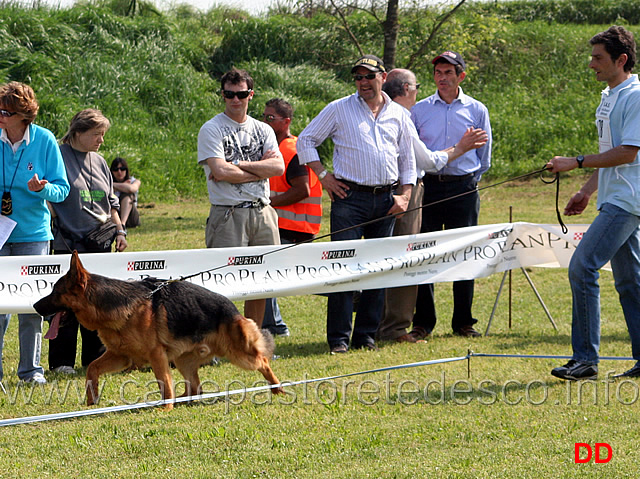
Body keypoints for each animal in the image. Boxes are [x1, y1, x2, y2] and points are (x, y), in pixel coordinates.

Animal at [33, 253, 282, 410]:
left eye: (55, 292)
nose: (34, 306)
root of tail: (232, 309)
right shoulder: (121, 356)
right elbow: (92, 369)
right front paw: (91, 399)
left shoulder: (156, 355)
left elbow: (164, 383)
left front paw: (165, 408)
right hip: (183, 361)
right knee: (195, 388)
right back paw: (183, 400)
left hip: (239, 354)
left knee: (263, 362)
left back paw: (277, 389)